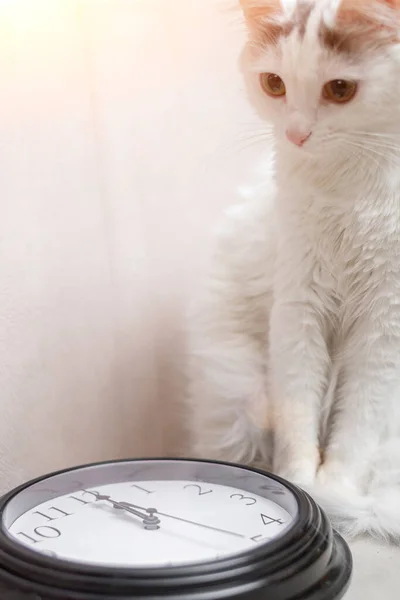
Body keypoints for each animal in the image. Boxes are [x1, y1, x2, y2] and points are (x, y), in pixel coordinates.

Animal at [185, 0, 400, 540]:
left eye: (340, 89)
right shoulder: (299, 304)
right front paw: (300, 484)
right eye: (274, 84)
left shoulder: (385, 328)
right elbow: (298, 408)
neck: (350, 193)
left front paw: (335, 488)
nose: (296, 133)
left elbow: (357, 423)